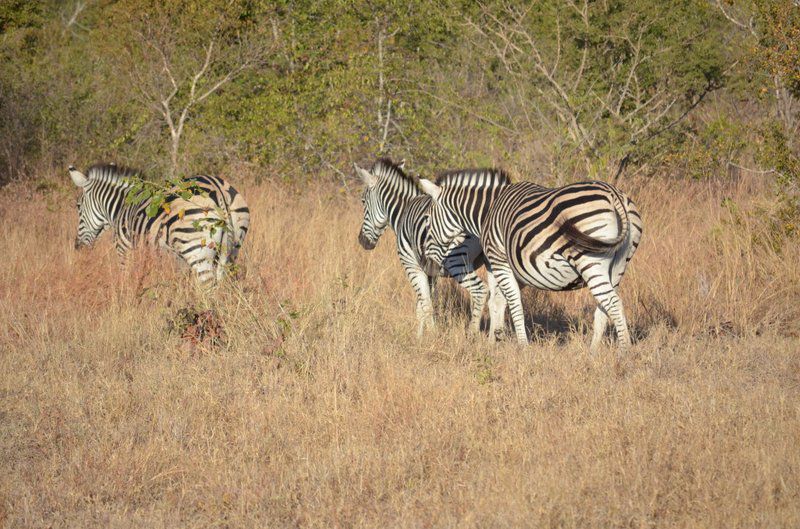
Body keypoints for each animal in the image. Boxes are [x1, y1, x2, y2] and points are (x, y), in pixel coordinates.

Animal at [69, 163, 250, 282]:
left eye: (78, 207)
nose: (78, 248)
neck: (122, 205)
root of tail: (218, 189)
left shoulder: (124, 250)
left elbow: (127, 281)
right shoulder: (172, 259)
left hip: (197, 251)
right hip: (231, 249)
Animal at [354, 157, 488, 334]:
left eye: (363, 201)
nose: (362, 241)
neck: (403, 211)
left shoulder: (412, 266)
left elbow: (426, 305)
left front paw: (431, 335)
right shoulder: (430, 272)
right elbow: (422, 306)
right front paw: (419, 336)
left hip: (457, 262)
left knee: (480, 291)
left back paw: (472, 333)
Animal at [418, 170, 644, 350]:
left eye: (427, 220)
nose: (426, 263)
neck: (487, 211)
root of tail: (614, 195)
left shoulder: (499, 260)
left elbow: (512, 301)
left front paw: (521, 346)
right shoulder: (501, 266)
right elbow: (497, 301)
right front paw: (495, 341)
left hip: (590, 260)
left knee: (613, 302)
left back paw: (624, 352)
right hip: (619, 264)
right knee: (604, 307)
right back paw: (593, 353)